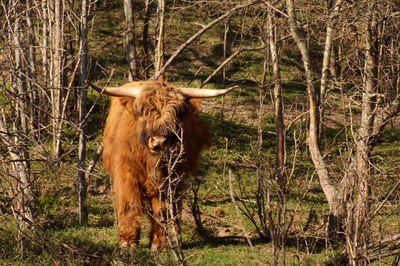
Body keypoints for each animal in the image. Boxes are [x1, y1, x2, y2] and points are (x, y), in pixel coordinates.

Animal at [91, 80, 238, 250]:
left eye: (177, 114)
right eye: (143, 111)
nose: (159, 141)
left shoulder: (172, 178)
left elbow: (163, 208)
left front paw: (159, 242)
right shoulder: (127, 173)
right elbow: (130, 204)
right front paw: (127, 241)